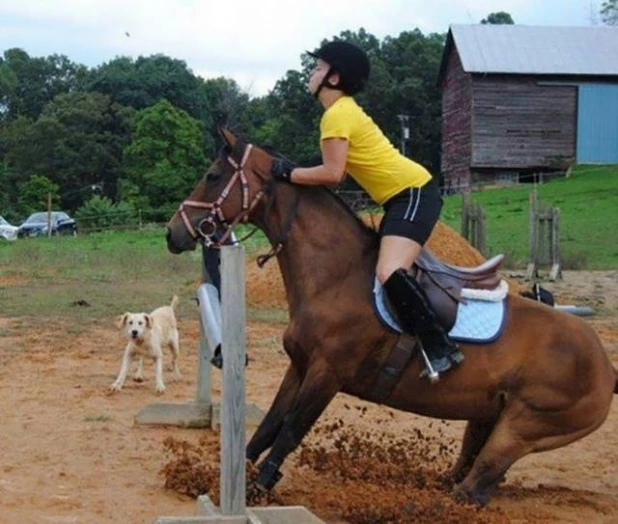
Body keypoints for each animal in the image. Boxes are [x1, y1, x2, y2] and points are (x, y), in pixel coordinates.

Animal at [165, 129, 616, 506]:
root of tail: (606, 367)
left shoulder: (327, 374)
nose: (173, 232)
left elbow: (290, 431)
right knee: (468, 469)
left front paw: (259, 487)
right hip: (486, 416)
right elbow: (269, 426)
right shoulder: (300, 367)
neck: (336, 275)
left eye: (212, 174)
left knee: (477, 484)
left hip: (524, 428)